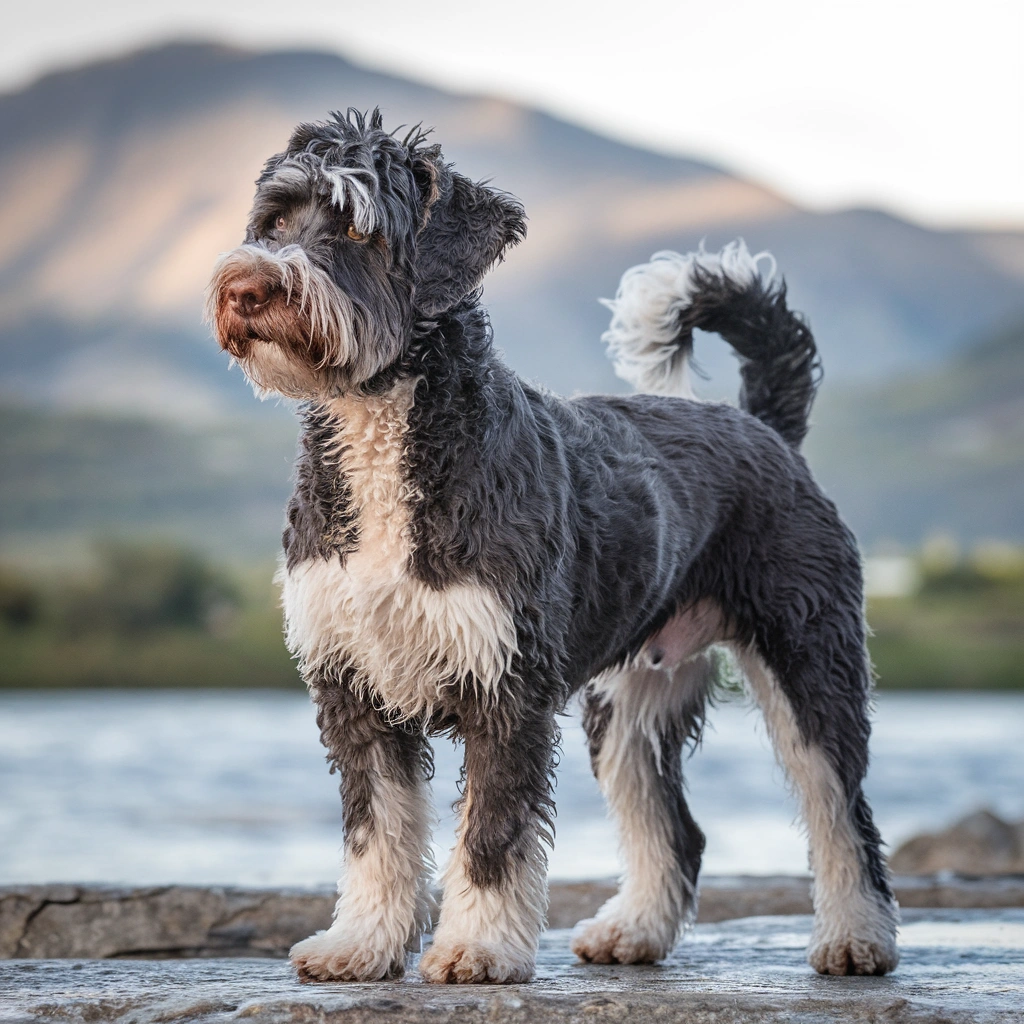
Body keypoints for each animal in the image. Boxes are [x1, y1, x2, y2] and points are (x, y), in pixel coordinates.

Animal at [205, 110, 897, 983]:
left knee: (842, 811)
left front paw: (475, 948)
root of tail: (764, 425)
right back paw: (632, 931)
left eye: (356, 226)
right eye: (275, 220)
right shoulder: (353, 685)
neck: (386, 435)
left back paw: (856, 939)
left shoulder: (505, 683)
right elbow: (377, 833)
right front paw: (360, 944)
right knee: (672, 827)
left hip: (808, 660)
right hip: (631, 703)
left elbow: (493, 834)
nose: (244, 287)